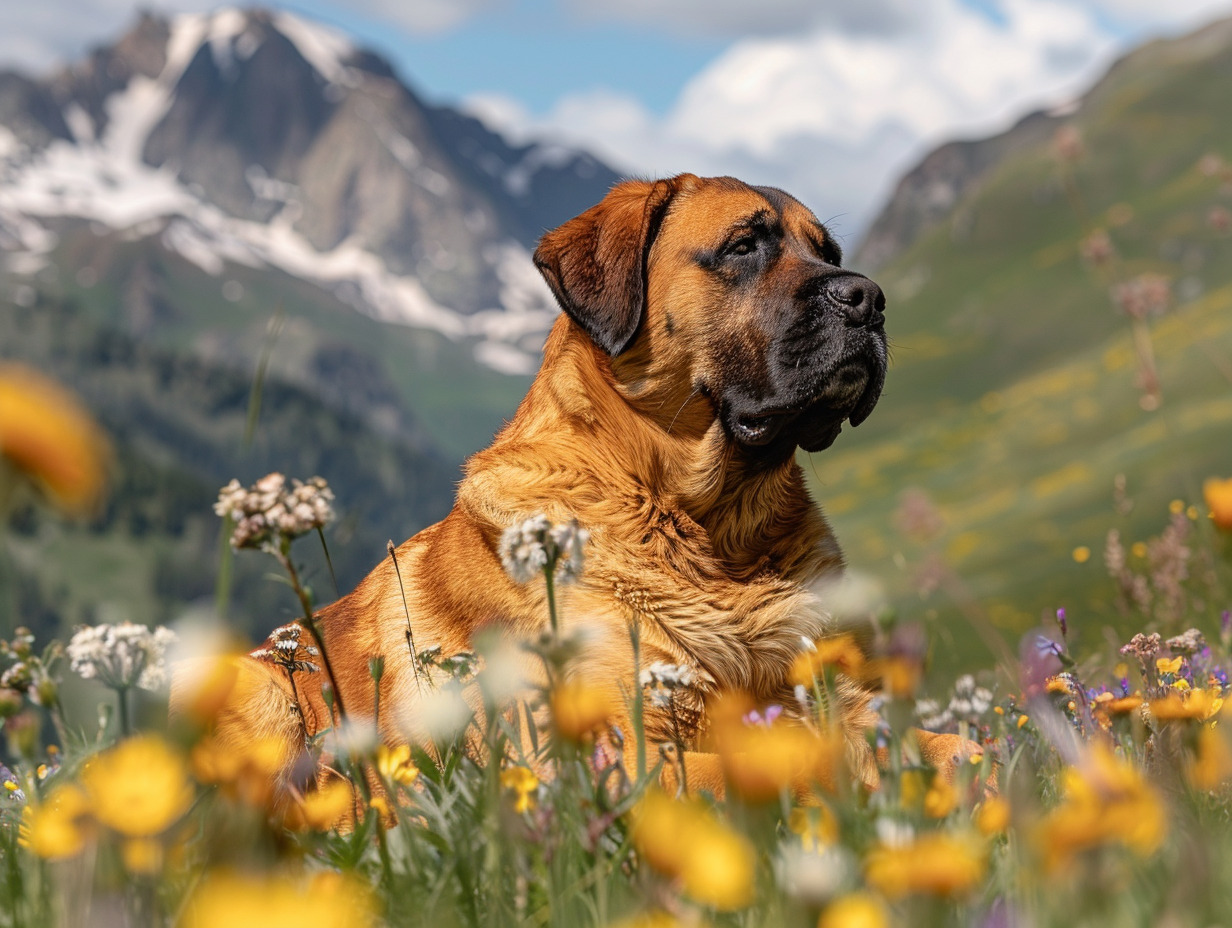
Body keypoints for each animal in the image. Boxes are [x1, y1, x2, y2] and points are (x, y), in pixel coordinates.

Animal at [189, 173, 980, 798]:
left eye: (830, 253)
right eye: (742, 247)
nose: (869, 297)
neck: (713, 526)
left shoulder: (840, 691)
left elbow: (962, 746)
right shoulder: (624, 749)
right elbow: (806, 761)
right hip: (265, 692)